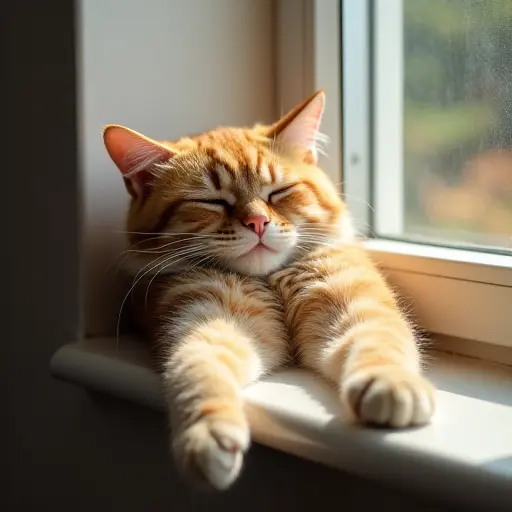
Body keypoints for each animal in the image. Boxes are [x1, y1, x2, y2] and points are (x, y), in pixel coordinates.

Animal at [103, 91, 436, 492]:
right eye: (212, 202)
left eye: (279, 193)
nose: (258, 222)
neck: (268, 281)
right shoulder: (202, 322)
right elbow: (198, 371)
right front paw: (206, 436)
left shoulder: (353, 302)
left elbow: (377, 340)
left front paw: (390, 383)